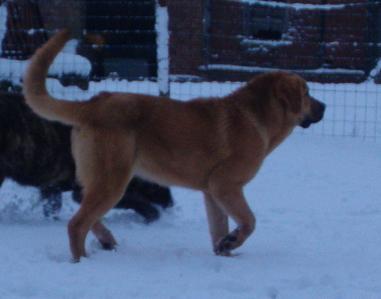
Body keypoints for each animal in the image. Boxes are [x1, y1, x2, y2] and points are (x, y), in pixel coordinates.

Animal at [0, 92, 172, 223]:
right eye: (157, 181)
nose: (171, 202)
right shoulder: (86, 190)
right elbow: (132, 200)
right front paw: (151, 214)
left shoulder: (51, 187)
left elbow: (52, 208)